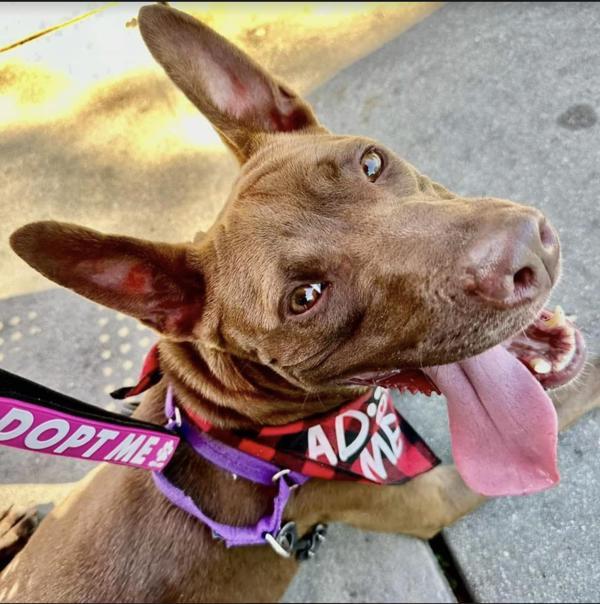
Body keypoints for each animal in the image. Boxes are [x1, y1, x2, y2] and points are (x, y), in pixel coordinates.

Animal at [1, 3, 600, 600]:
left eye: (371, 163)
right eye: (305, 298)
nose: (525, 250)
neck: (251, 439)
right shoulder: (435, 494)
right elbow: (573, 394)